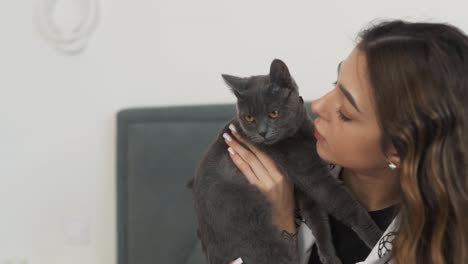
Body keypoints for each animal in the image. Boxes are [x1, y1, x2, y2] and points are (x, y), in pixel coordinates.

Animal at [186, 59, 384, 264]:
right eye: (249, 118)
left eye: (273, 113)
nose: (262, 132)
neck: (298, 133)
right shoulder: (312, 174)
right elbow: (346, 205)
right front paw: (376, 238)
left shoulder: (303, 188)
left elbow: (318, 220)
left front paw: (329, 257)